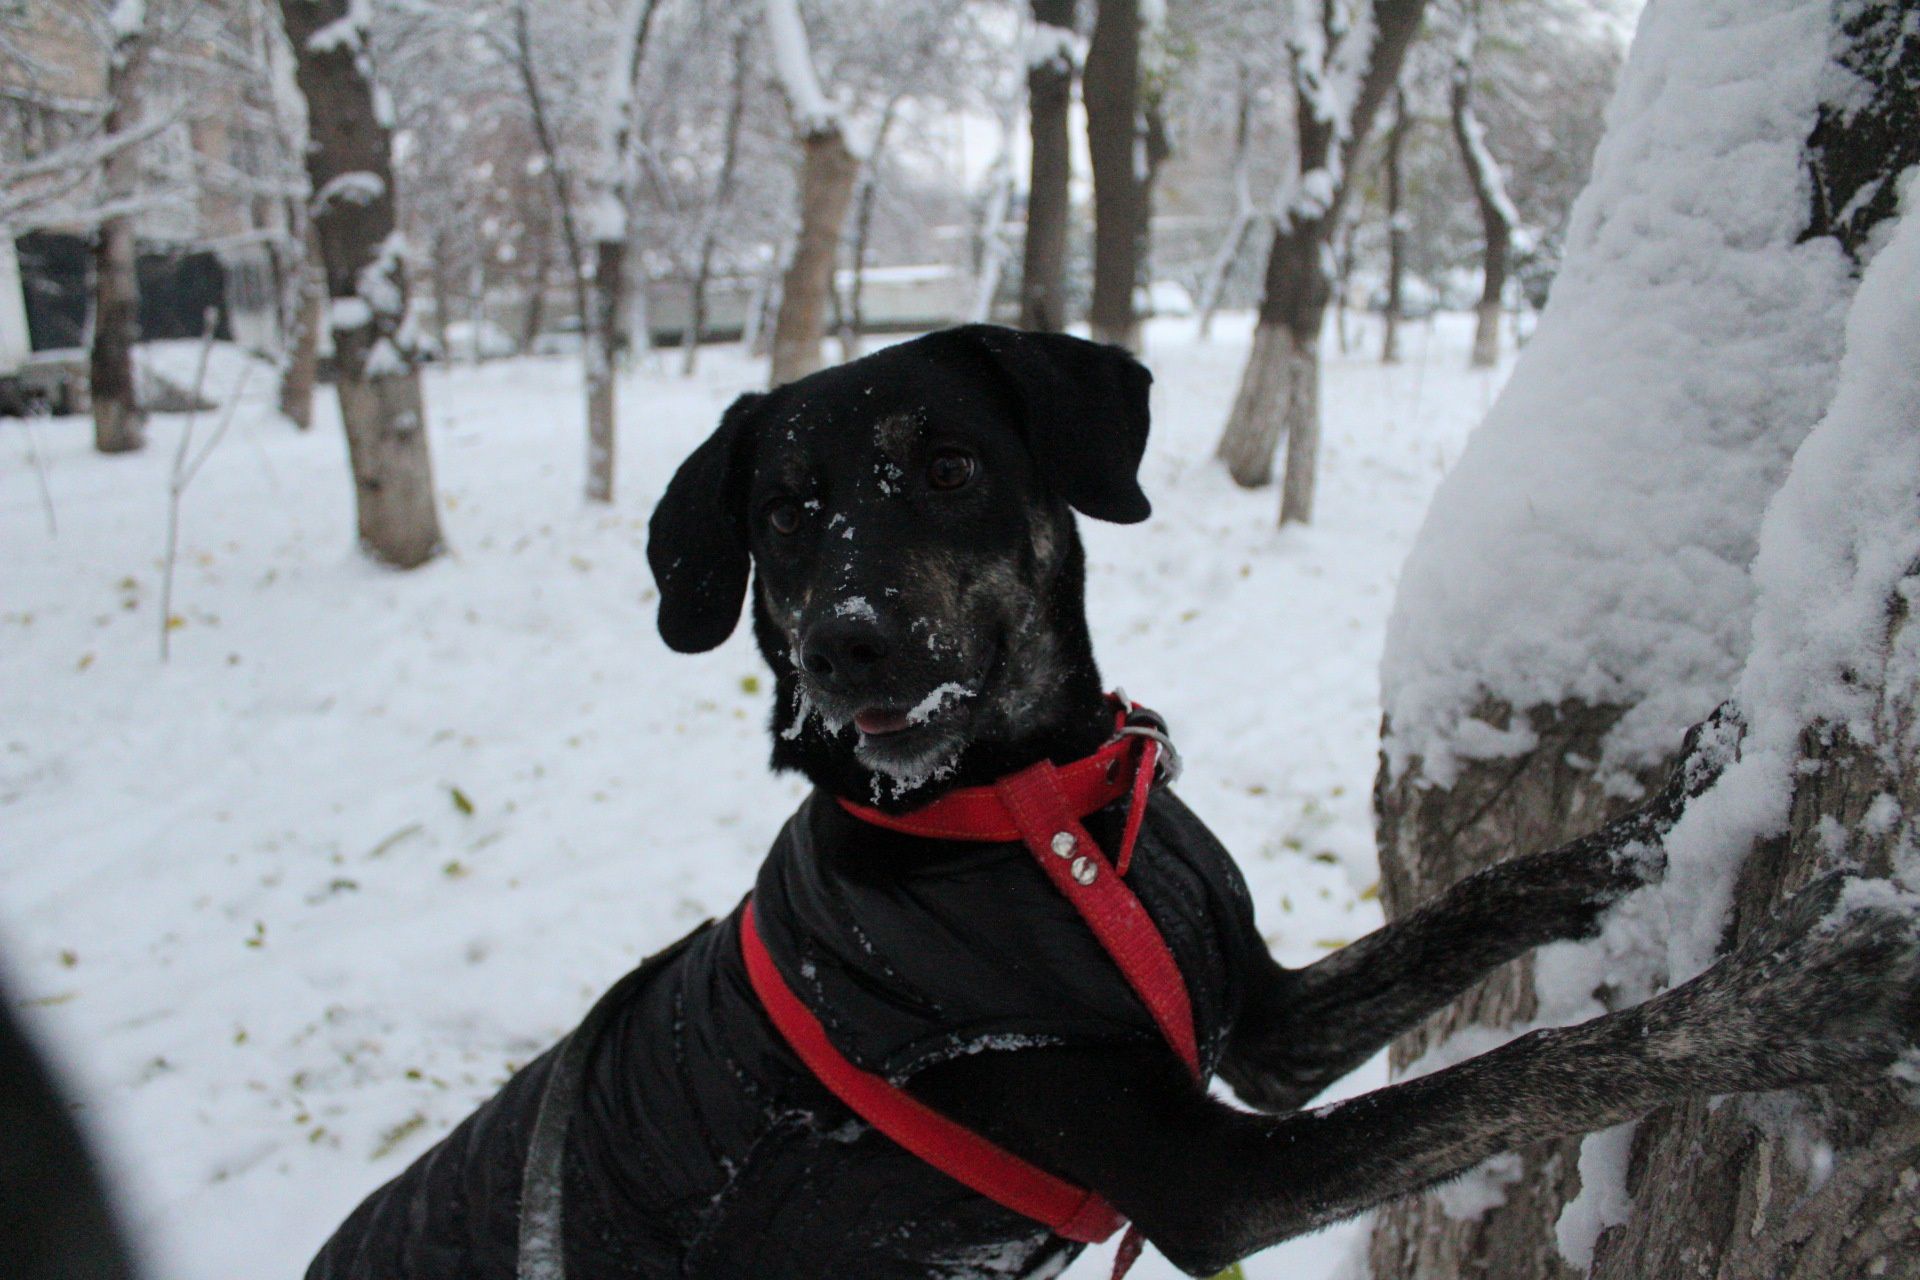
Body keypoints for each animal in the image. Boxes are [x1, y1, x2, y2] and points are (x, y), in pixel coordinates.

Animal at [311, 326, 1920, 1274]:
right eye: (781, 512)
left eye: (947, 463)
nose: (845, 646)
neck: (1032, 819)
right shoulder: (1213, 1175)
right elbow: (1518, 1072)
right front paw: (1798, 997)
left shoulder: (1259, 1027)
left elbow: (1489, 899)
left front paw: (1688, 795)